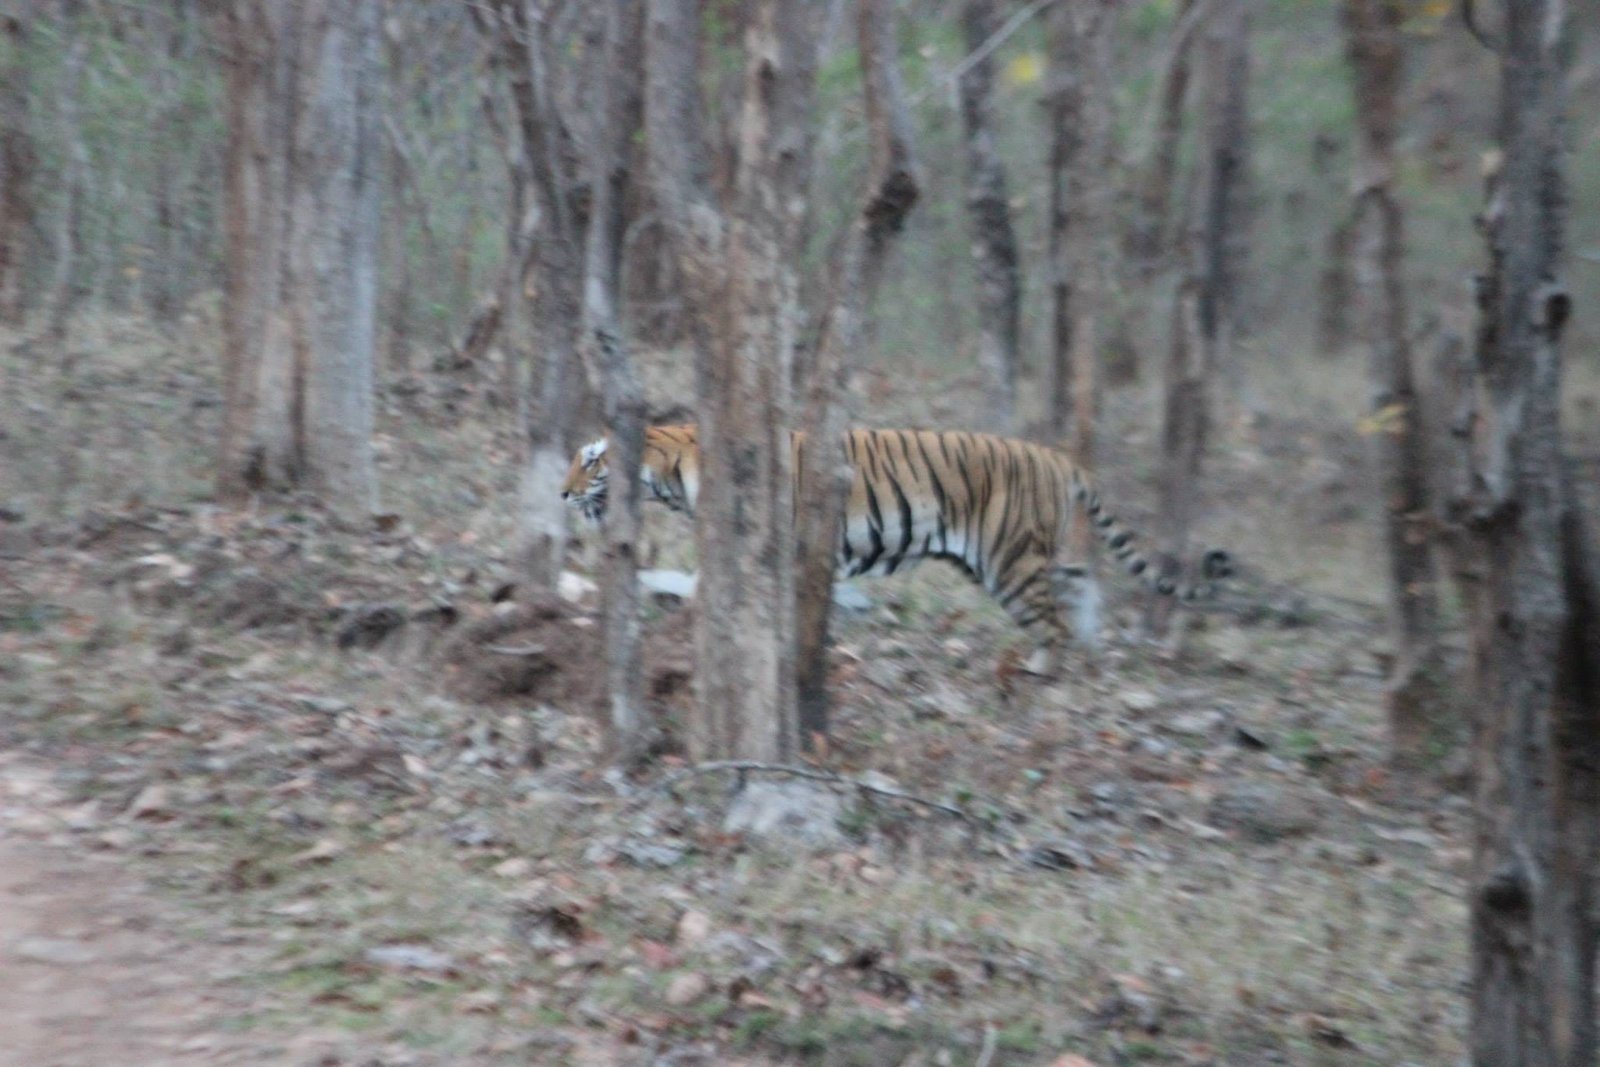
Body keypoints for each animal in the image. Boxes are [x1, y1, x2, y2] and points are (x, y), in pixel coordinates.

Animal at [561, 425, 1230, 669]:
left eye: (590, 461)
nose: (563, 493)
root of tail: (1058, 458)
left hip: (1008, 560)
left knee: (1052, 624)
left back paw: (1046, 671)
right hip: (1021, 555)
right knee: (1083, 581)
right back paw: (1090, 651)